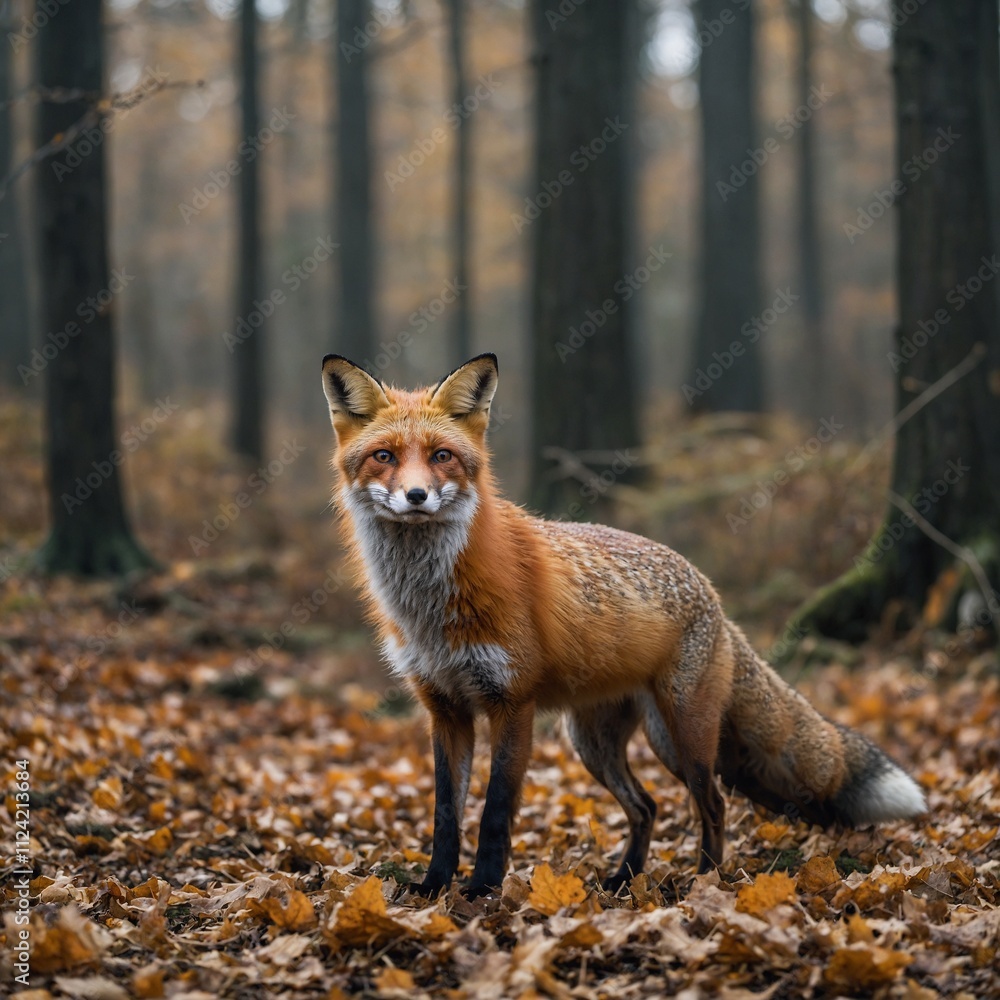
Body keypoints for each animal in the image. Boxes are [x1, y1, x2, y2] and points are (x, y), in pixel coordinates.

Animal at [321, 352, 926, 898]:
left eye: (442, 455)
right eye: (384, 456)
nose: (416, 496)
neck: (430, 605)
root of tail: (711, 593)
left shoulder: (511, 703)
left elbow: (494, 813)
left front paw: (482, 891)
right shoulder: (445, 710)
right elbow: (446, 814)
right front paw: (432, 888)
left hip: (683, 736)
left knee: (712, 802)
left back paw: (704, 880)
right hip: (597, 743)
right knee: (648, 806)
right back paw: (624, 879)